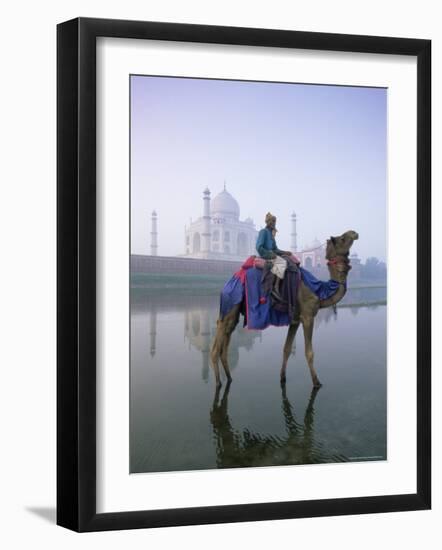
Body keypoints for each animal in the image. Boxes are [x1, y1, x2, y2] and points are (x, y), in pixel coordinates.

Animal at [211, 231, 360, 390]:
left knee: (226, 338)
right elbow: (309, 352)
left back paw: (229, 378)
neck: (319, 291)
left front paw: (282, 378)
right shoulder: (308, 316)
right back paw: (218, 382)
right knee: (217, 345)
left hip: (233, 309)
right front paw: (317, 382)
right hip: (230, 301)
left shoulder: (295, 320)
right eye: (342, 238)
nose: (354, 233)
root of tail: (227, 284)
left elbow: (286, 349)